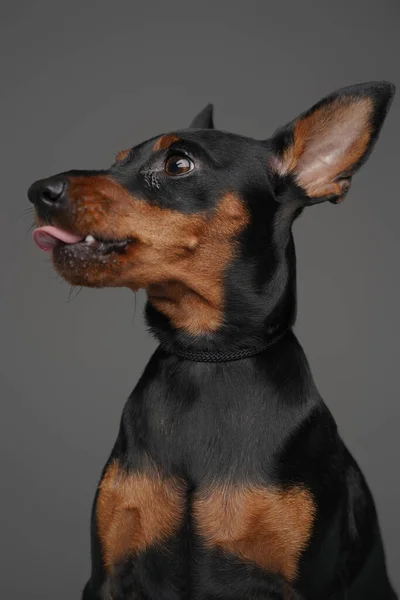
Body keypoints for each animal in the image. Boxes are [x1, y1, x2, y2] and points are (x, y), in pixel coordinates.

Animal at [28, 83, 396, 600]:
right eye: (115, 162)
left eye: (178, 164)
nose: (38, 191)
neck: (210, 357)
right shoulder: (107, 576)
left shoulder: (308, 584)